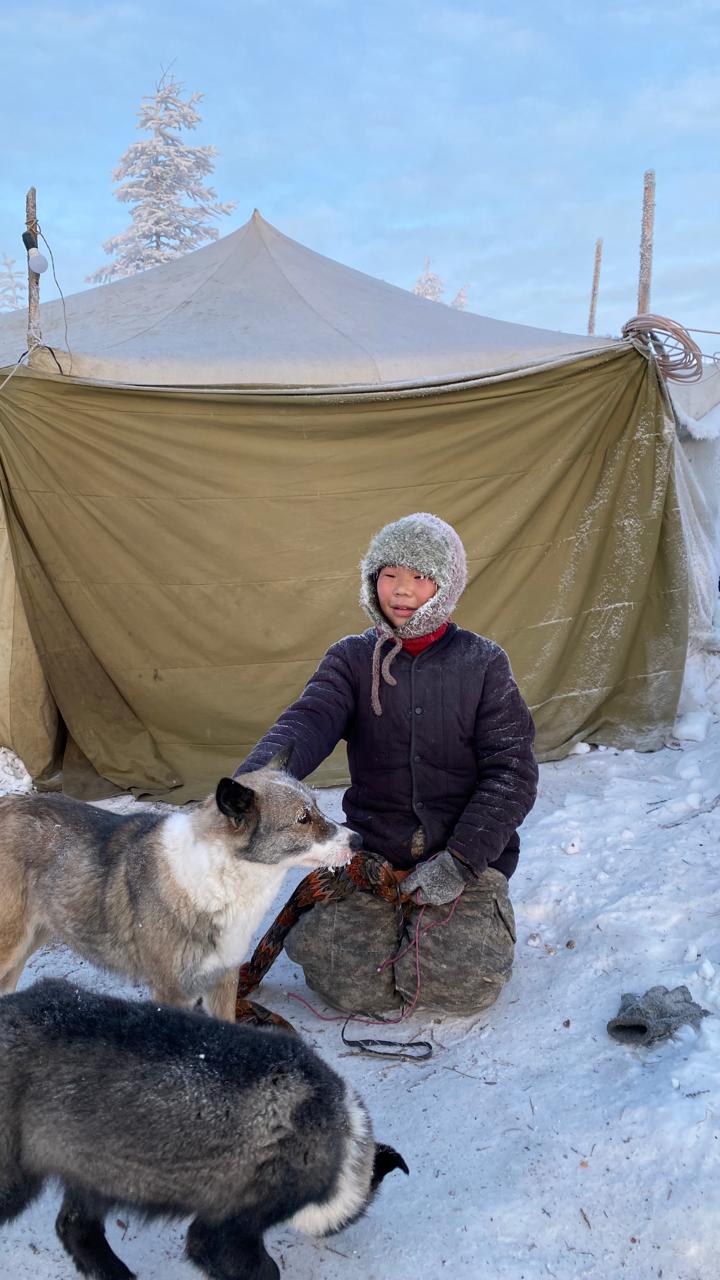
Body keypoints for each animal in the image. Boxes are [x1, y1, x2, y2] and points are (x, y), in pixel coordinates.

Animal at [0, 972, 407, 1274]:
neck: (343, 1144)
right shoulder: (226, 1229)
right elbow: (260, 1268)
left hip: (92, 1173)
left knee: (75, 1231)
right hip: (17, 1180)